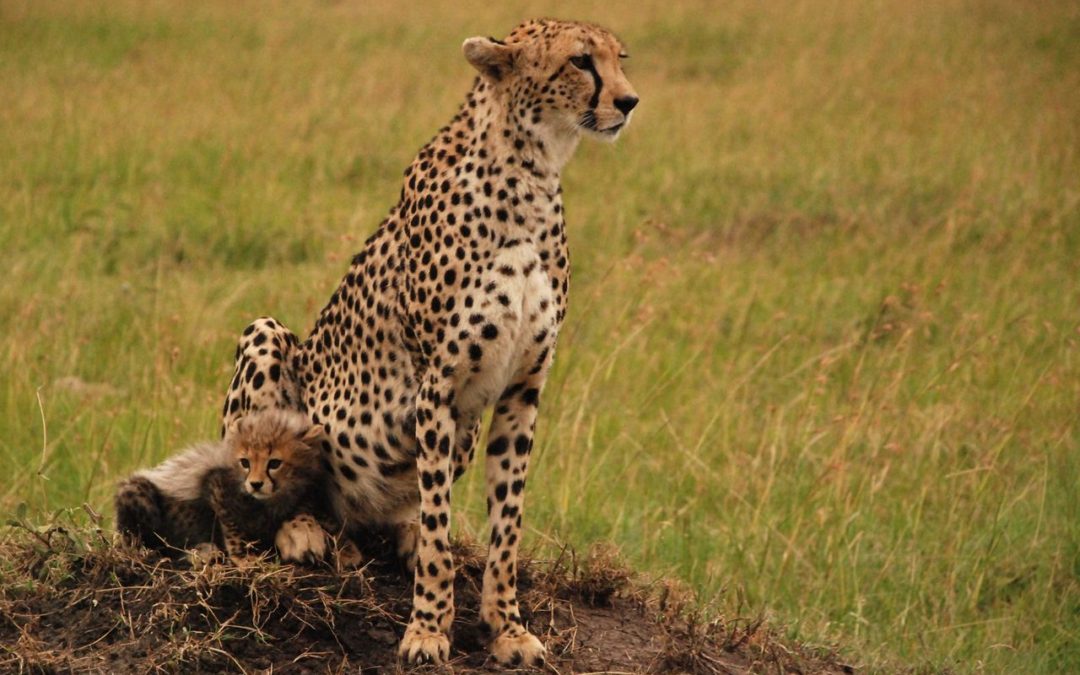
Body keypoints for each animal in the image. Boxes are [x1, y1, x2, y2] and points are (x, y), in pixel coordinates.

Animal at [222, 19, 635, 665]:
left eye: (621, 58)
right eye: (580, 61)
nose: (629, 101)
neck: (533, 172)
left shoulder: (521, 390)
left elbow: (506, 523)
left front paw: (506, 627)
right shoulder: (437, 387)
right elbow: (442, 523)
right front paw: (427, 628)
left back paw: (395, 531)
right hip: (264, 335)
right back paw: (302, 529)